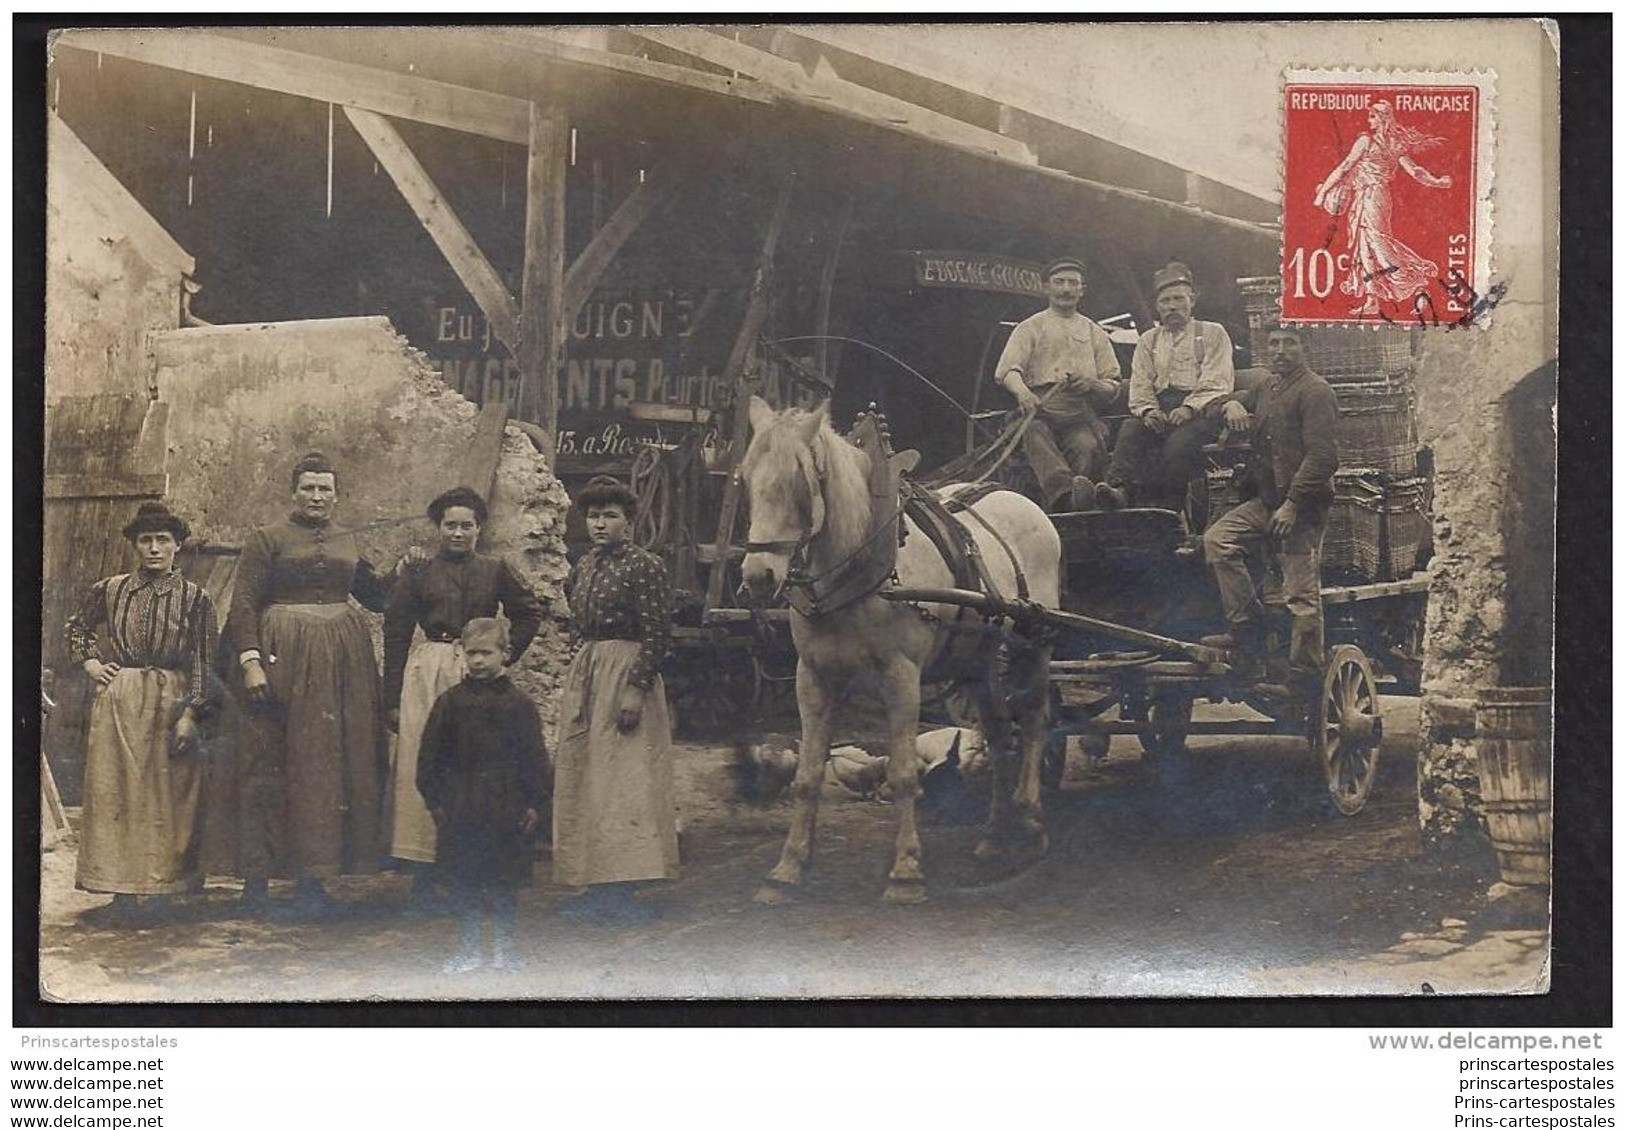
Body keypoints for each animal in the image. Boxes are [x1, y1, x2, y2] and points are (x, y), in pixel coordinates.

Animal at [741, 393, 1066, 904]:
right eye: (745, 479)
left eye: (800, 484)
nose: (757, 578)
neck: (857, 572)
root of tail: (1025, 502)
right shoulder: (812, 678)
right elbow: (808, 776)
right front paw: (788, 867)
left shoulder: (902, 678)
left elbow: (902, 775)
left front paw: (906, 870)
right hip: (979, 661)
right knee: (997, 735)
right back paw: (995, 834)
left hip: (1034, 646)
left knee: (1033, 724)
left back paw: (1031, 822)